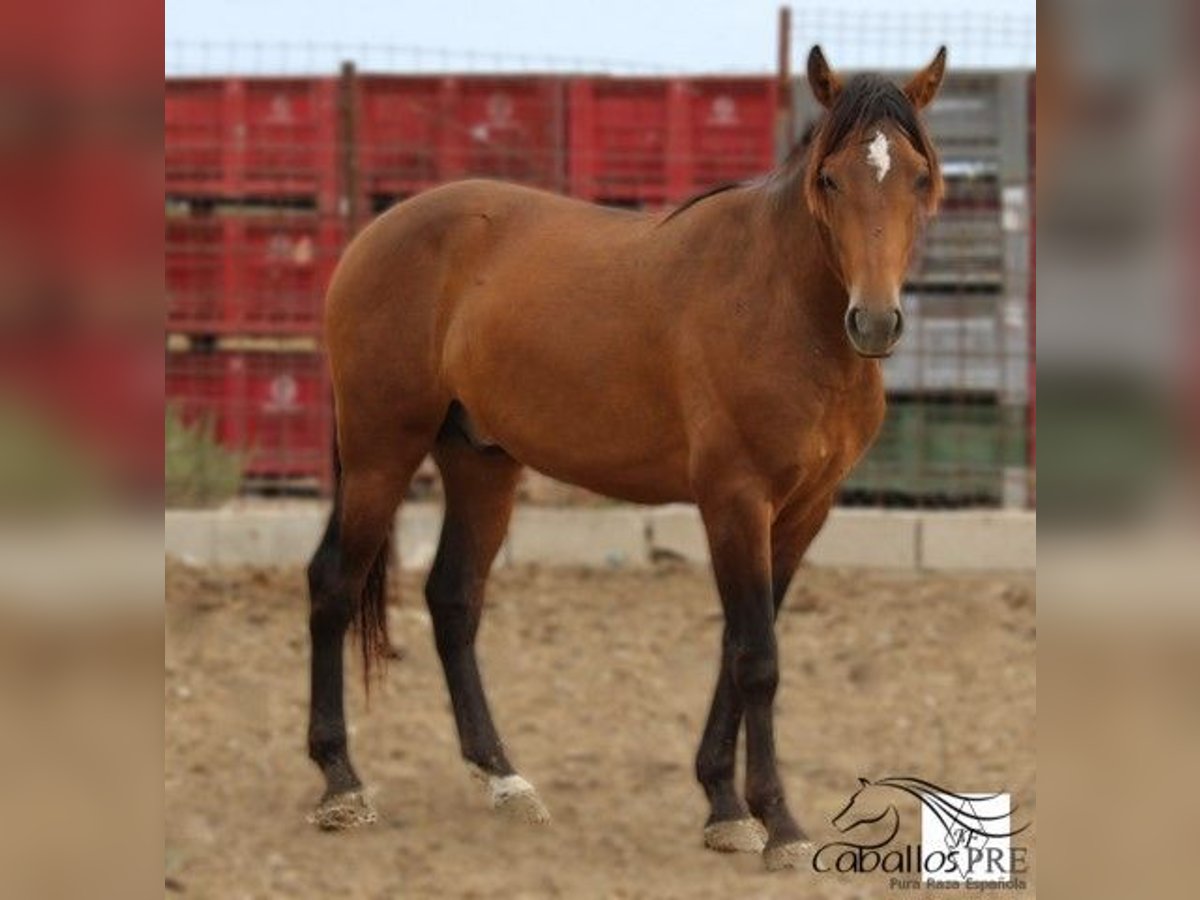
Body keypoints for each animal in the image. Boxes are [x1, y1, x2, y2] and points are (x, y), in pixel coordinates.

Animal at [307, 45, 945, 868]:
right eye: (831, 177)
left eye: (919, 177)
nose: (874, 321)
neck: (781, 305)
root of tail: (374, 235)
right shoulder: (736, 500)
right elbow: (757, 659)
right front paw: (778, 823)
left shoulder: (806, 510)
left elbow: (741, 647)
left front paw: (723, 804)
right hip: (380, 449)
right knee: (333, 585)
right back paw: (341, 783)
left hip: (480, 462)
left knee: (452, 600)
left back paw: (504, 779)